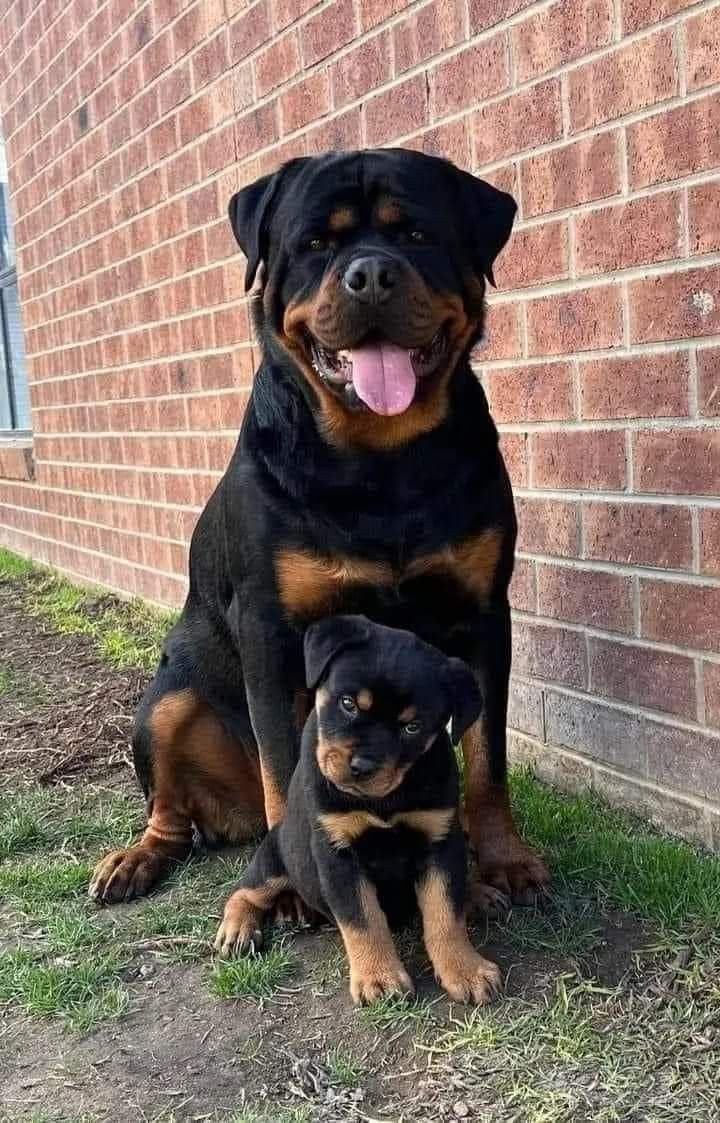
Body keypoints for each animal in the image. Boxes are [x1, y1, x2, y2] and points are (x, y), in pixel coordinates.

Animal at [90, 149, 550, 916]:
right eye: (313, 244)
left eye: (415, 234)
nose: (370, 274)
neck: (381, 460)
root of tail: (233, 817)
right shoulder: (270, 630)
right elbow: (283, 763)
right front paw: (295, 882)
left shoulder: (485, 613)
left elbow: (488, 759)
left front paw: (504, 861)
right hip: (168, 695)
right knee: (171, 806)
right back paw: (136, 858)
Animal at [213, 615, 498, 1010]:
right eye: (348, 703)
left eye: (412, 727)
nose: (362, 766)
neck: (386, 799)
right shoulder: (338, 853)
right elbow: (364, 919)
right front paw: (379, 978)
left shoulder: (440, 840)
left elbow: (444, 912)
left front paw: (465, 970)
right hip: (276, 857)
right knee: (247, 890)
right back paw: (236, 929)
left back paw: (477, 893)